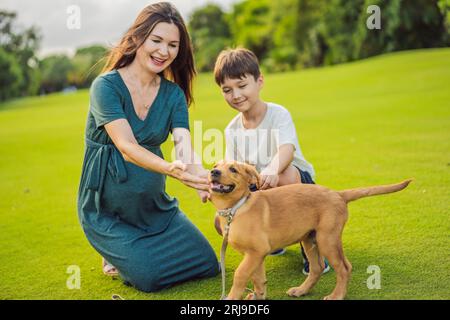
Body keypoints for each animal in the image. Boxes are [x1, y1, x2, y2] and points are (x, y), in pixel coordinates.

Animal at [207, 160, 412, 300]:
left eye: (233, 169)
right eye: (216, 165)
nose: (213, 172)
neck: (236, 208)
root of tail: (338, 194)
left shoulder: (256, 252)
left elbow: (241, 274)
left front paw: (231, 297)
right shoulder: (255, 254)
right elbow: (258, 278)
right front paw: (259, 296)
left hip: (327, 239)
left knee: (344, 268)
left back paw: (336, 296)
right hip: (309, 239)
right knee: (317, 268)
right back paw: (301, 290)